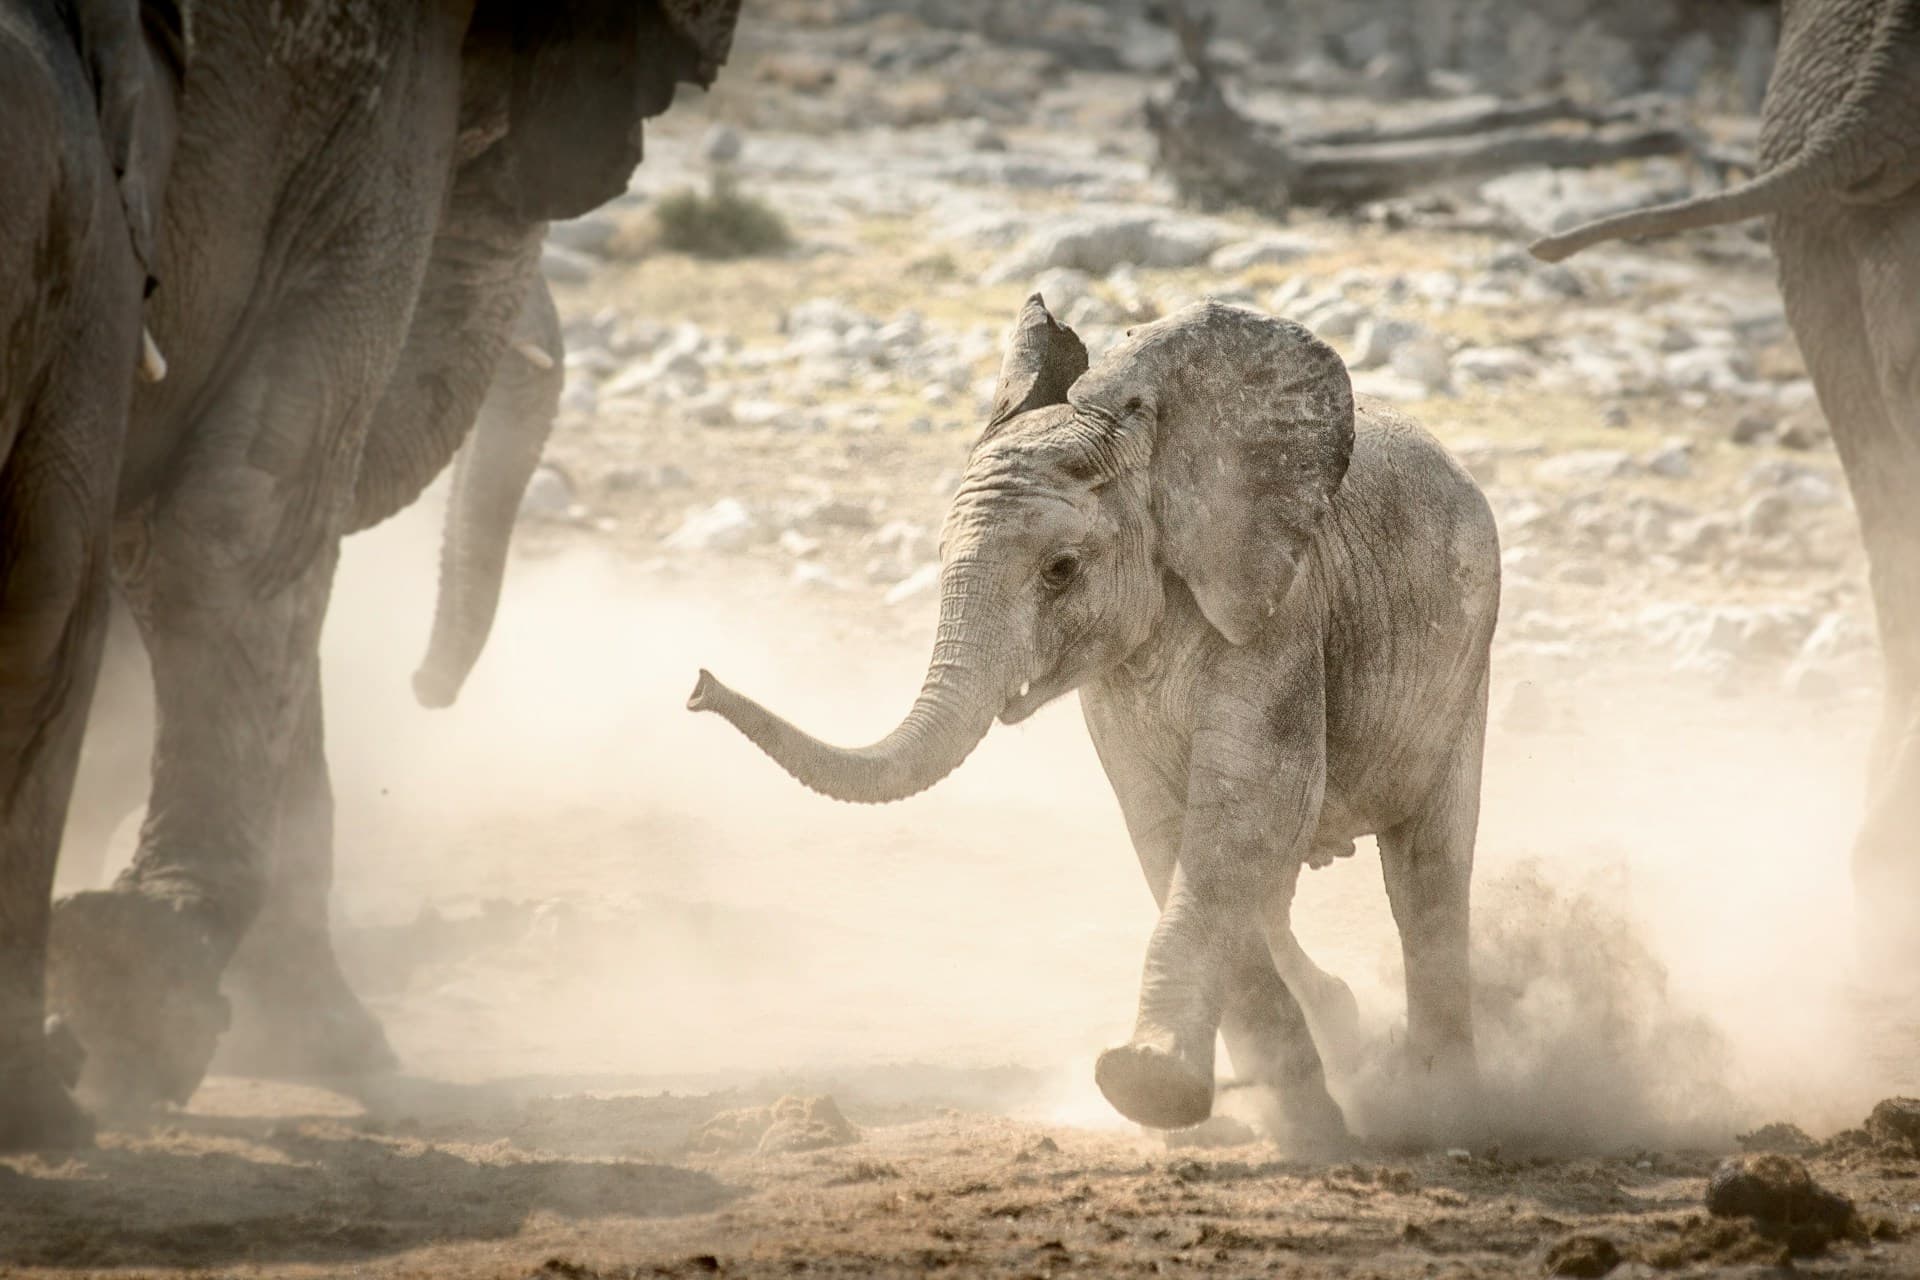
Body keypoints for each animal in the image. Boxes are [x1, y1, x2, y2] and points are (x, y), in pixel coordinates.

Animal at [688, 299, 1501, 1143]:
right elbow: (1169, 835)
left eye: (1061, 570)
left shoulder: (1281, 617)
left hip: (1466, 660)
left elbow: (1244, 820)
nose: (698, 685)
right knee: (1279, 893)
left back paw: (1448, 1112)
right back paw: (1342, 1031)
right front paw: (1283, 1125)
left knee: (1427, 875)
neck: (1157, 457)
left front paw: (1152, 1088)